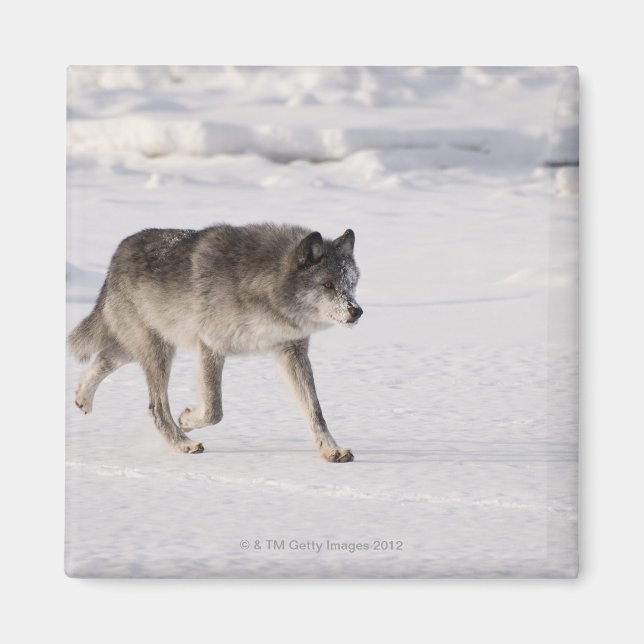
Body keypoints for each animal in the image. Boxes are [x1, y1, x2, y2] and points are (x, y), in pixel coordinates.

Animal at [68, 223, 362, 462]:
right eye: (327, 284)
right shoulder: (211, 346)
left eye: (351, 284)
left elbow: (315, 411)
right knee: (156, 407)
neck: (264, 285)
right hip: (158, 351)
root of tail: (117, 254)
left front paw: (331, 450)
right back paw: (183, 444)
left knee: (105, 357)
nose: (356, 311)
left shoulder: (292, 351)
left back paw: (83, 398)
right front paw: (187, 419)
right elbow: (214, 410)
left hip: (149, 345)